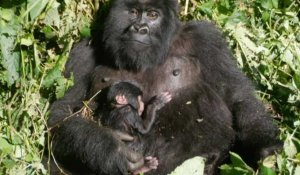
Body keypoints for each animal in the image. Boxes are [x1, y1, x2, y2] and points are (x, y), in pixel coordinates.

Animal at [48, 0, 282, 174]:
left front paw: (267, 151)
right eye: (133, 12)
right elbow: (61, 113)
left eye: (153, 15)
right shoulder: (83, 52)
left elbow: (237, 97)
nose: (139, 28)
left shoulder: (205, 39)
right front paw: (110, 149)